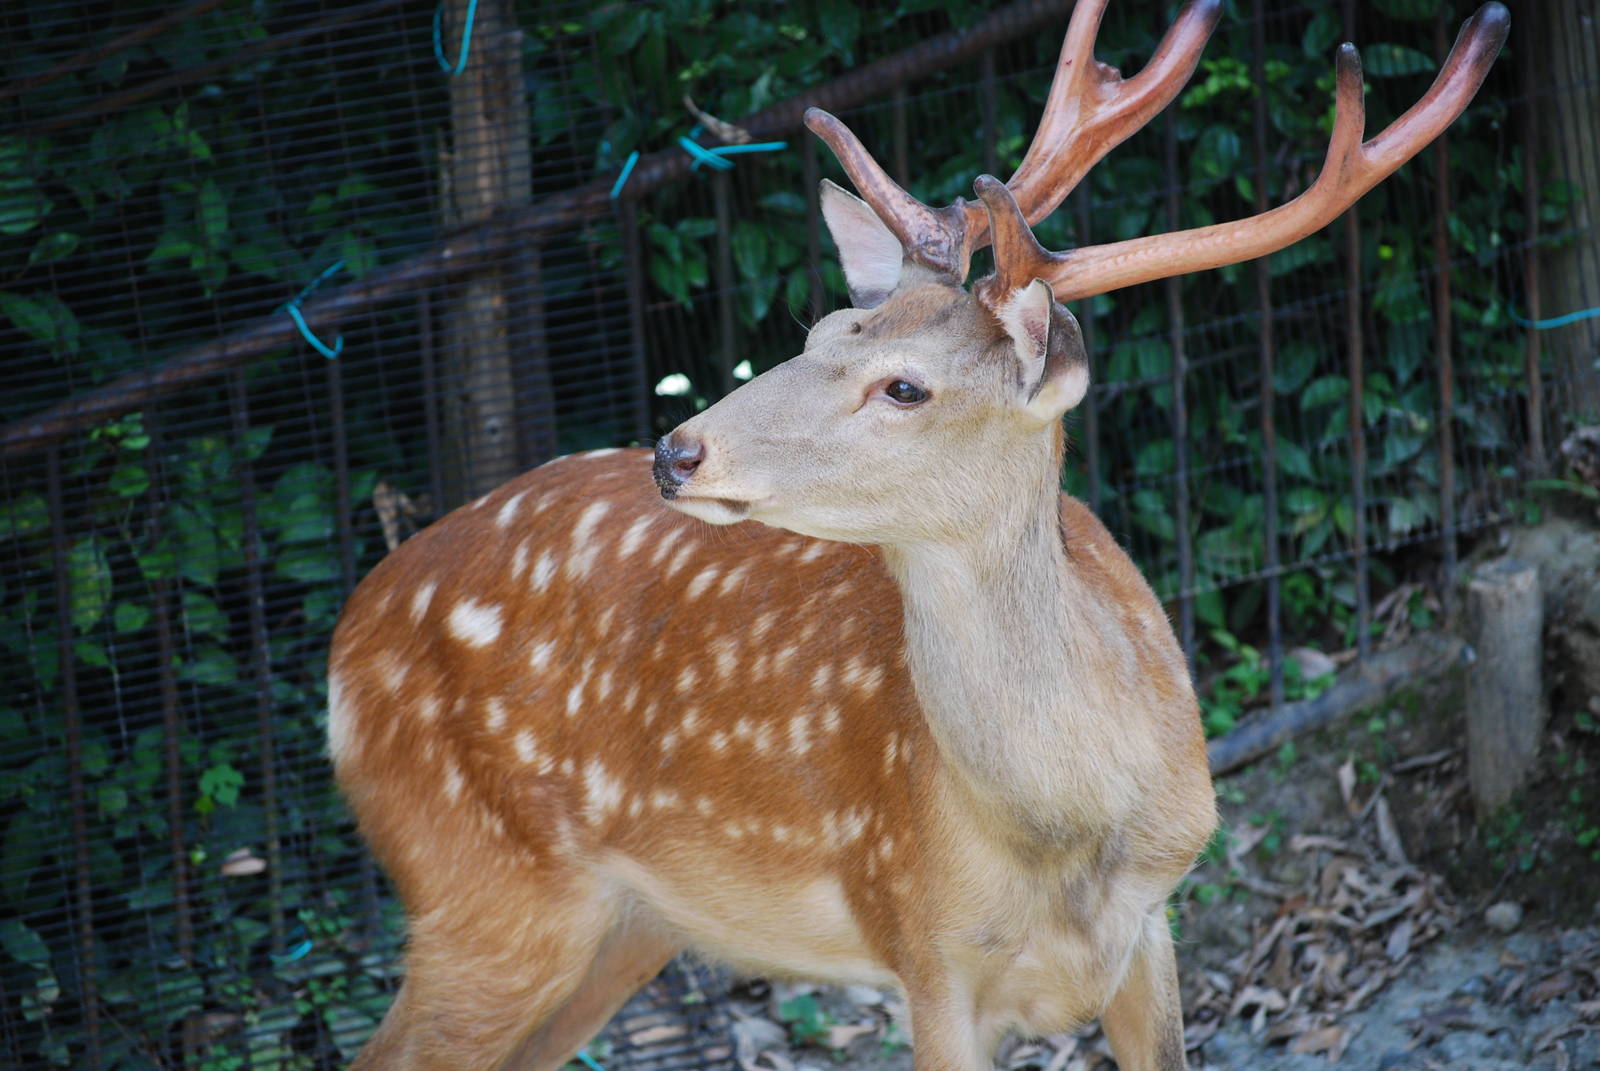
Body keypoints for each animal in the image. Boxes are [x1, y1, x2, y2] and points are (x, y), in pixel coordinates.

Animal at [328, 3, 1507, 1068]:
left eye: (903, 384)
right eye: (818, 333)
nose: (676, 451)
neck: (1065, 844)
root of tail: (346, 643)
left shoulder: (1156, 926)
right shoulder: (920, 945)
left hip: (617, 927)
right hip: (479, 888)